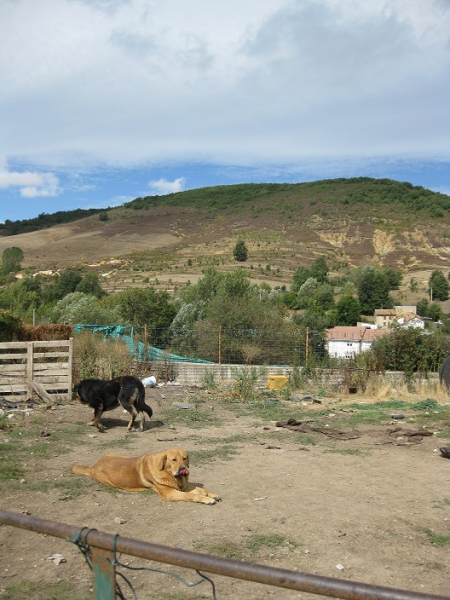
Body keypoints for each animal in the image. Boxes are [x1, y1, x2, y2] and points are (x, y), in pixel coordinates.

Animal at [71, 448, 221, 504]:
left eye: (184, 458)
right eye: (174, 460)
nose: (183, 469)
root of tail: (93, 467)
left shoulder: (185, 486)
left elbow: (200, 489)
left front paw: (212, 494)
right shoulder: (171, 493)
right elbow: (191, 495)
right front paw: (206, 499)